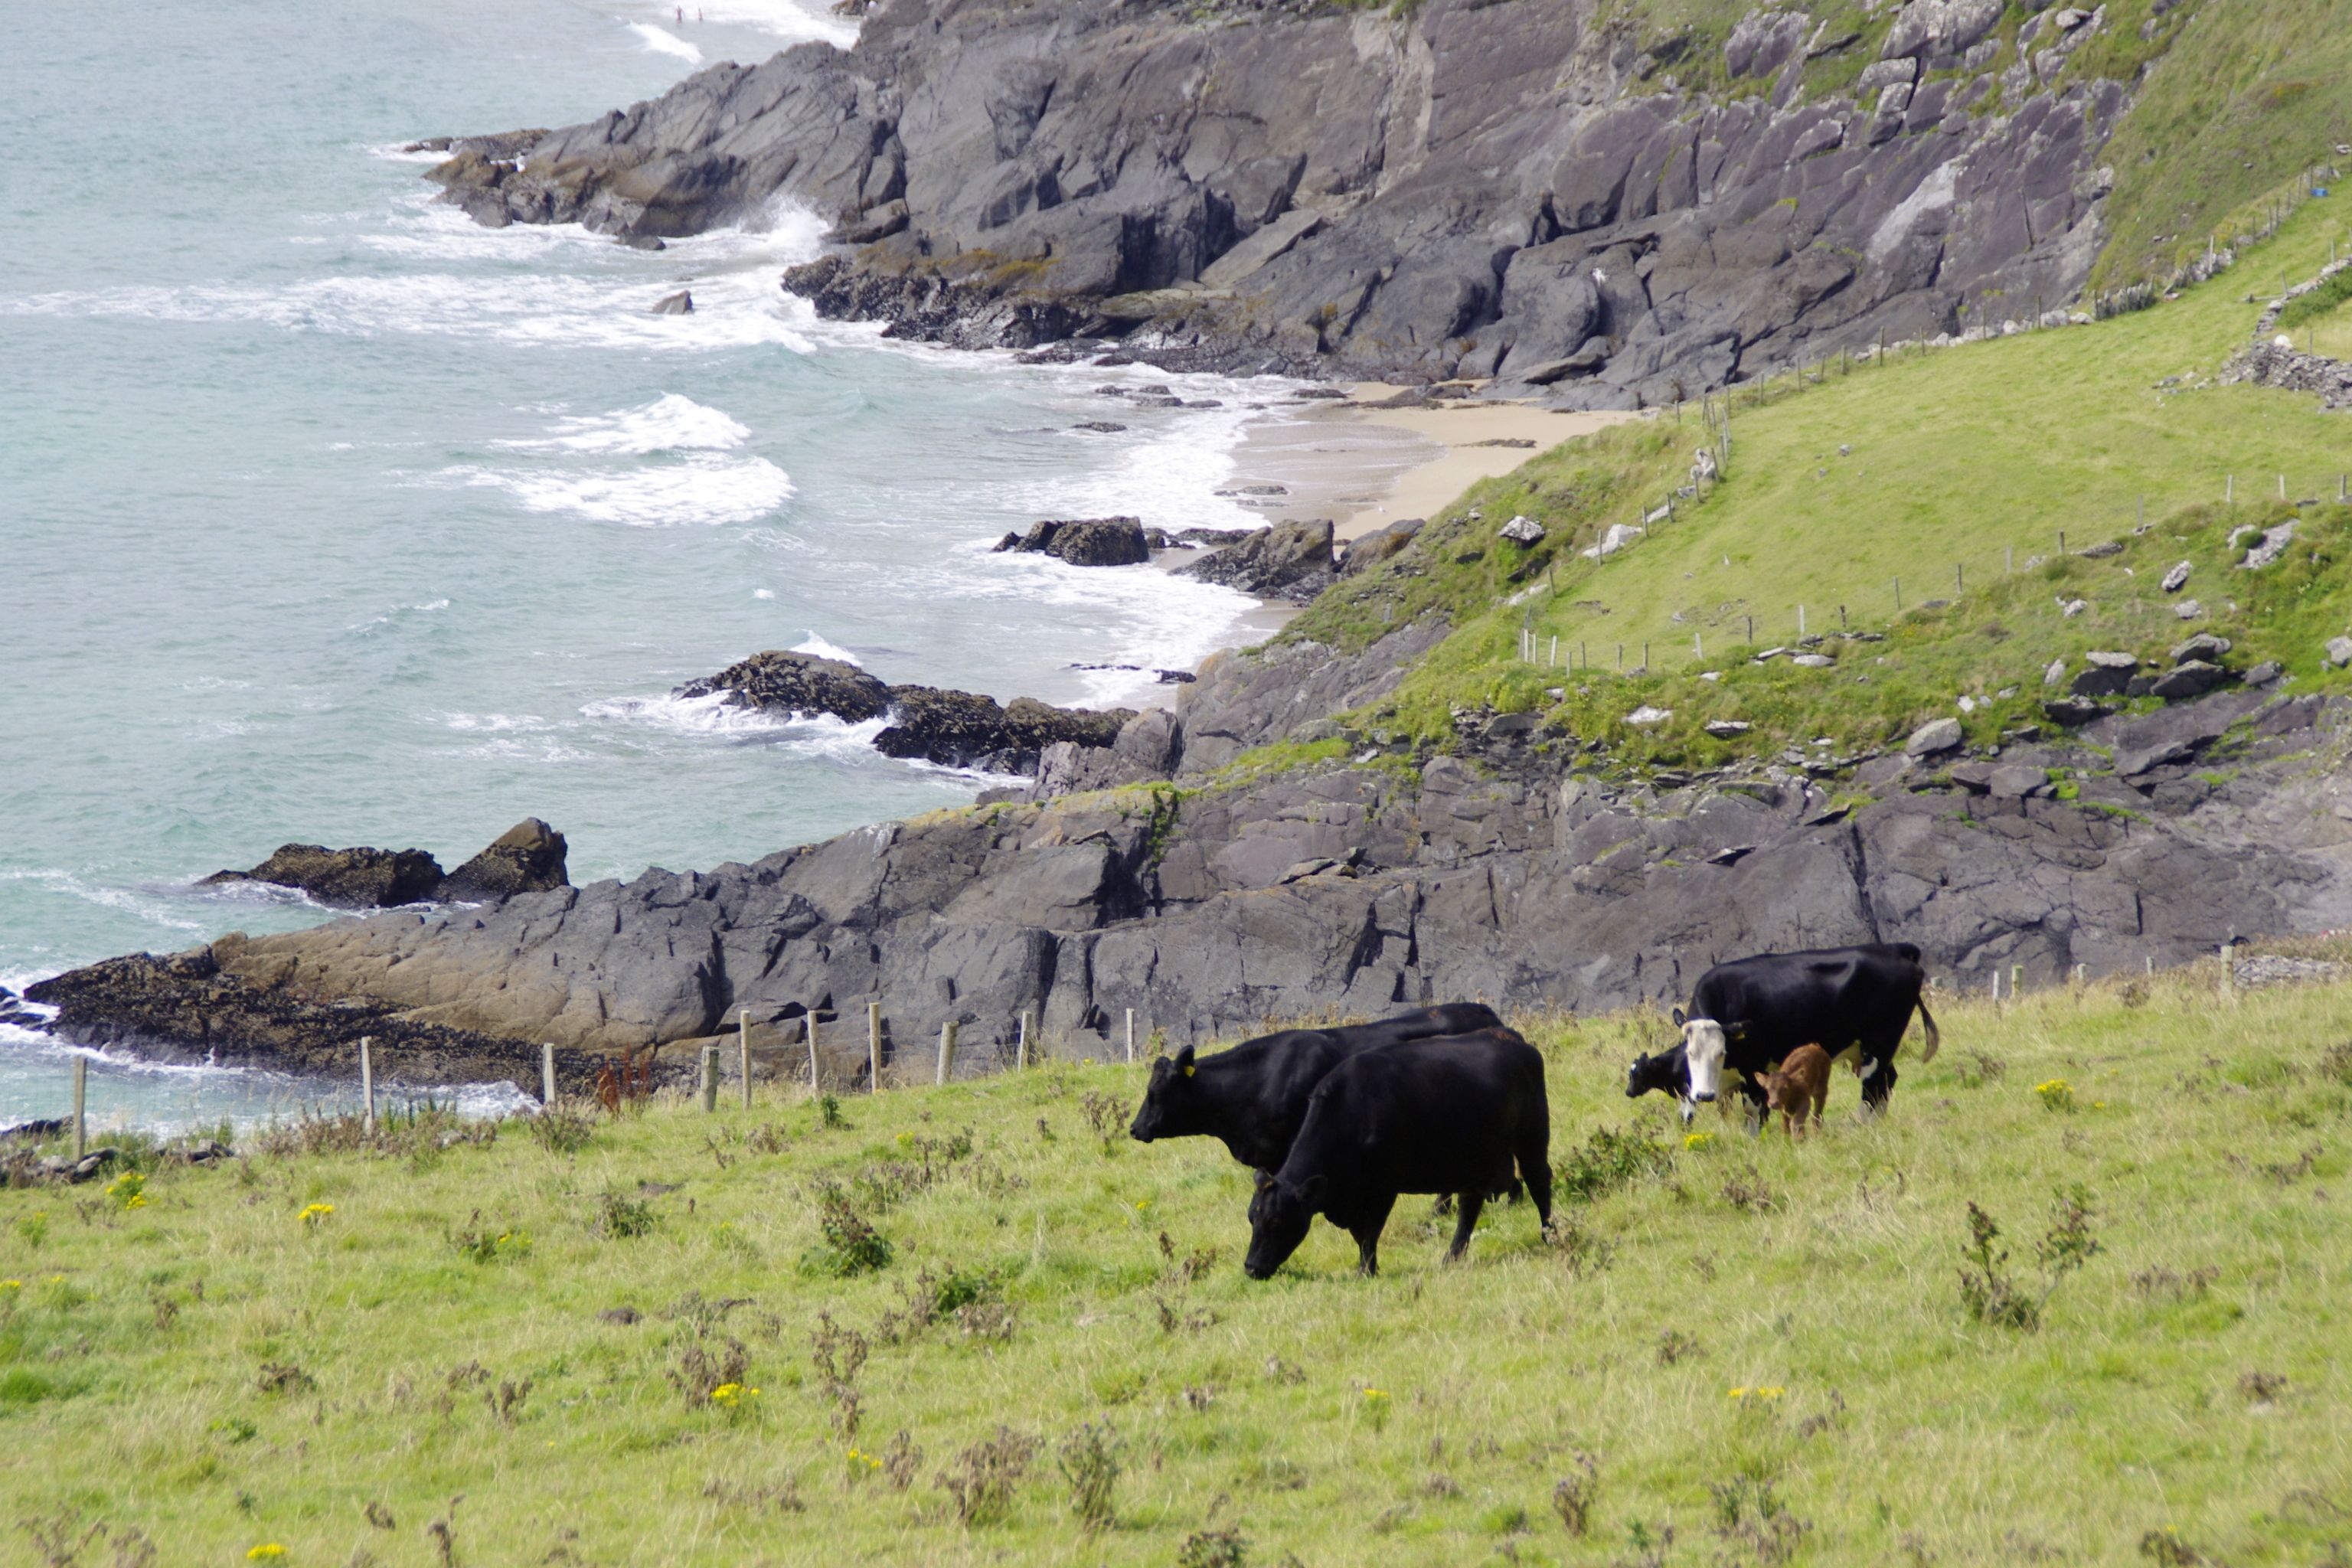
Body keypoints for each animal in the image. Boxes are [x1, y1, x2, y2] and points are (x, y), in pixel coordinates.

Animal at [1242, 1027, 1552, 1280]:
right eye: (1251, 1218)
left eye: (1276, 1220)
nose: (1251, 1268)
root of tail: (1514, 1040)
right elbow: (1360, 1234)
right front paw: (1369, 1268)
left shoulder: (1383, 1188)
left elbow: (1370, 1231)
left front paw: (1366, 1270)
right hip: (1474, 1159)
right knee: (1470, 1206)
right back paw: (1451, 1257)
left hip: (1532, 1138)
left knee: (1539, 1183)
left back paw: (1550, 1236)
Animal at [1664, 942, 1940, 1119]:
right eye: (1690, 1054)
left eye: (1721, 1052)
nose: (1705, 1094)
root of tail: (1895, 949)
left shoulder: (1754, 1068)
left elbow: (1753, 1111)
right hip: (1874, 1047)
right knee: (1887, 1080)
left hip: (1880, 1040)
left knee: (1872, 1087)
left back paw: (1861, 1125)